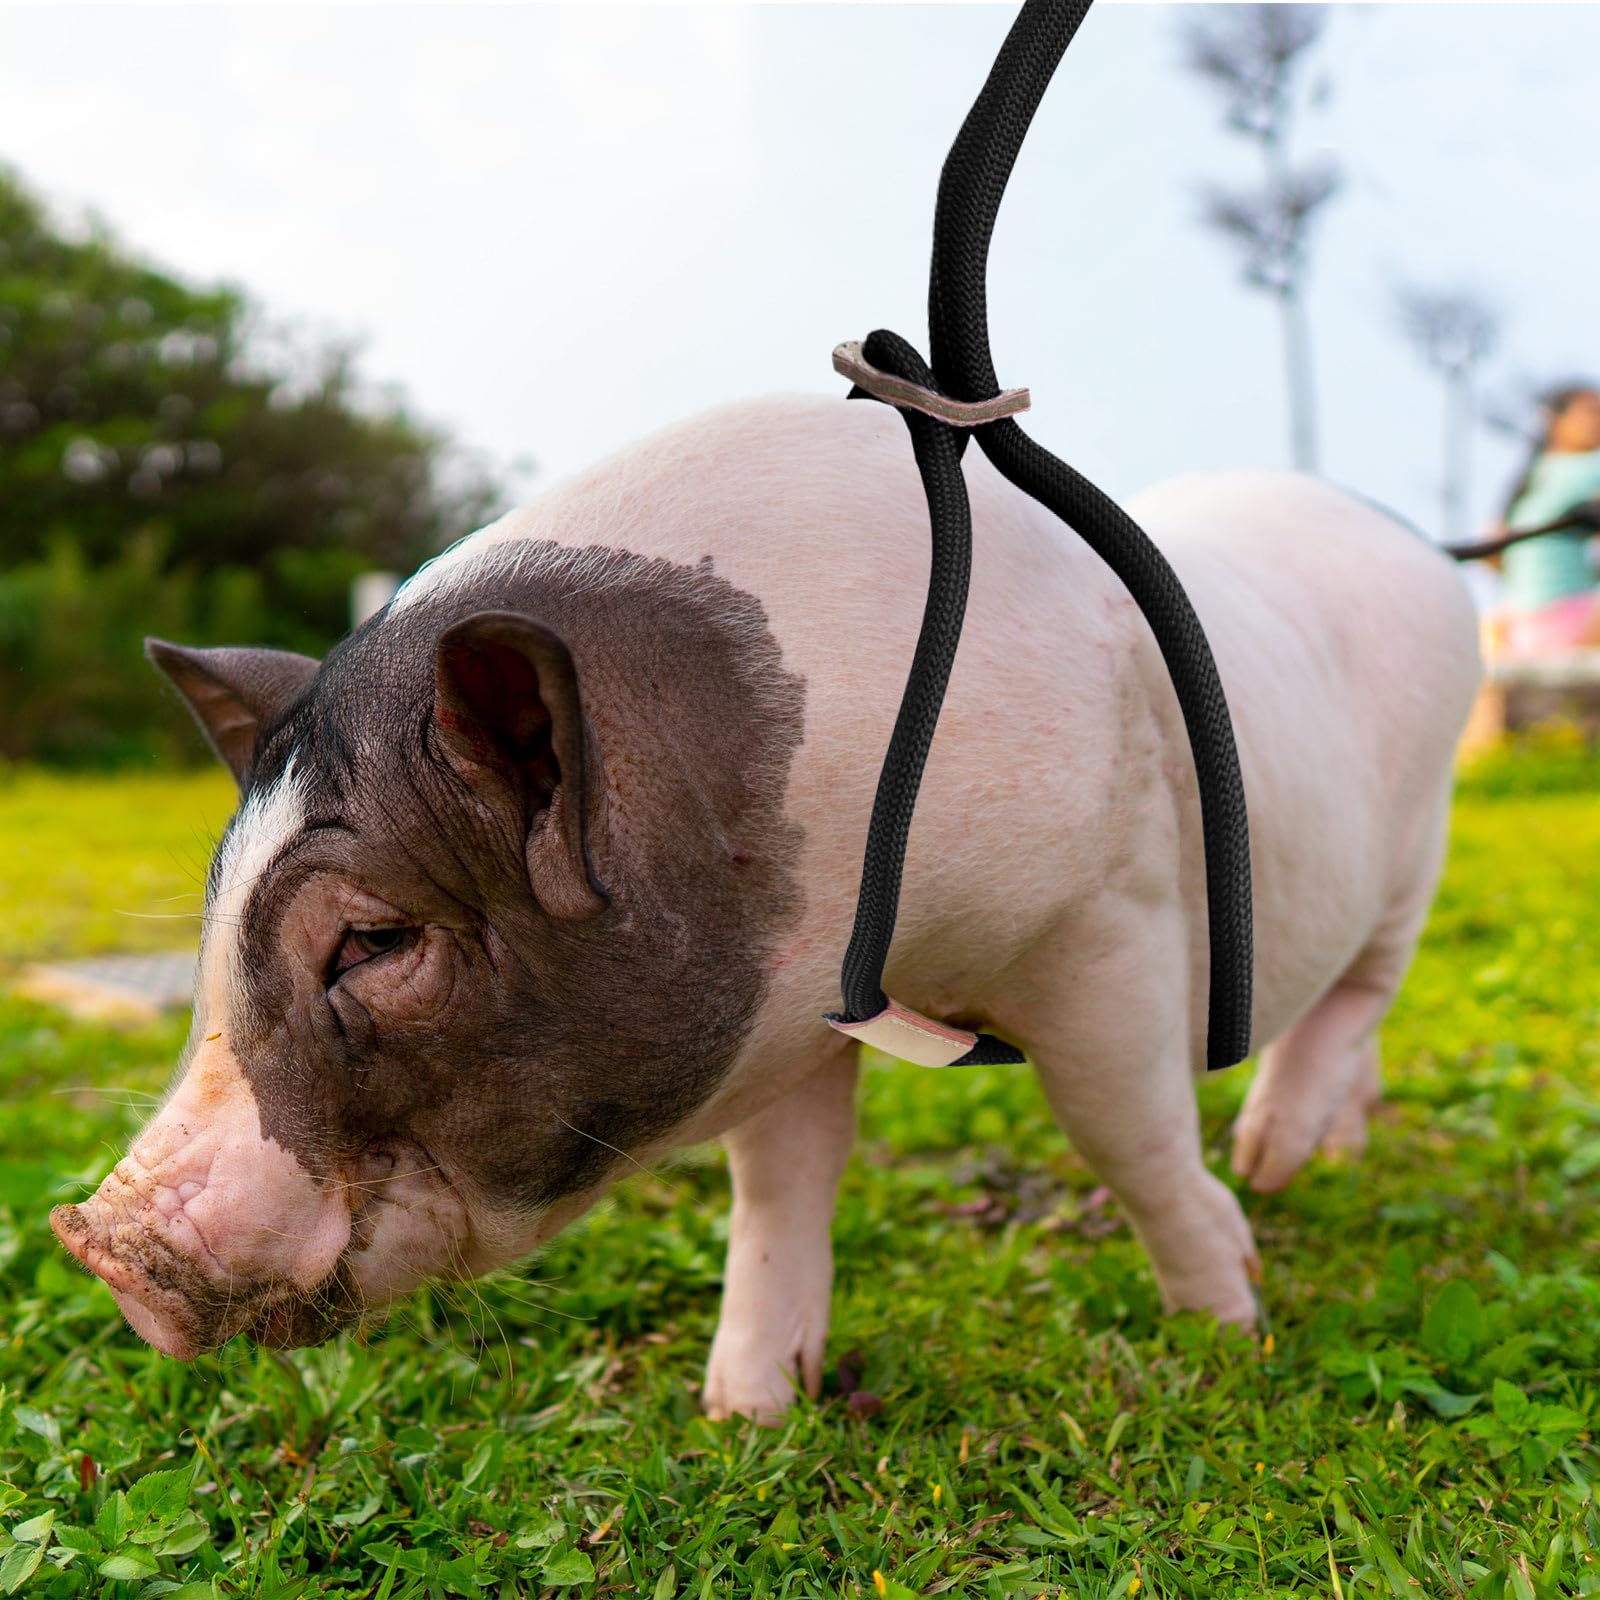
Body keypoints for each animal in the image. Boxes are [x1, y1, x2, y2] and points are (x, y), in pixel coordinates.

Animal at [51, 393, 1481, 1420]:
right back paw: (1323, 1158)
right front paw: (746, 1413)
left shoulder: (1105, 917)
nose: (98, 1241)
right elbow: (782, 1184)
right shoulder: (793, 1000)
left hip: (1421, 833)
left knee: (1364, 988)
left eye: (375, 940)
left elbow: (1124, 1133)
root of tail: (1422, 545)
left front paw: (1229, 1320)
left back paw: (1273, 1158)